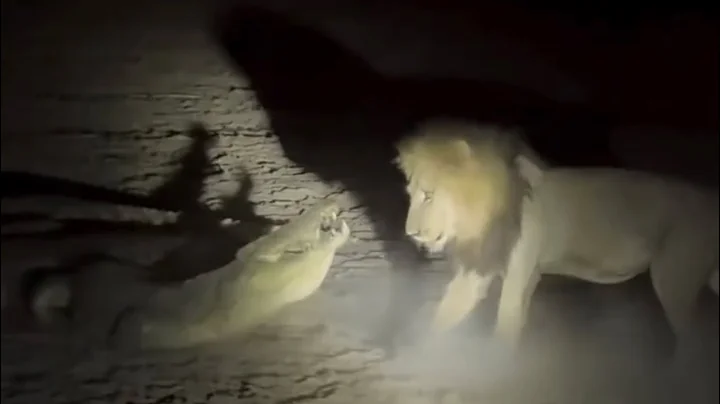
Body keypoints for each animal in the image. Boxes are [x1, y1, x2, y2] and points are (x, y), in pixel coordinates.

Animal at [395, 118, 719, 359]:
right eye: (411, 194)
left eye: (429, 195)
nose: (410, 233)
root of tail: (710, 198)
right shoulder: (482, 271)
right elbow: (444, 315)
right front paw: (415, 355)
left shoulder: (519, 274)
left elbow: (505, 328)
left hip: (673, 279)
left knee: (694, 343)